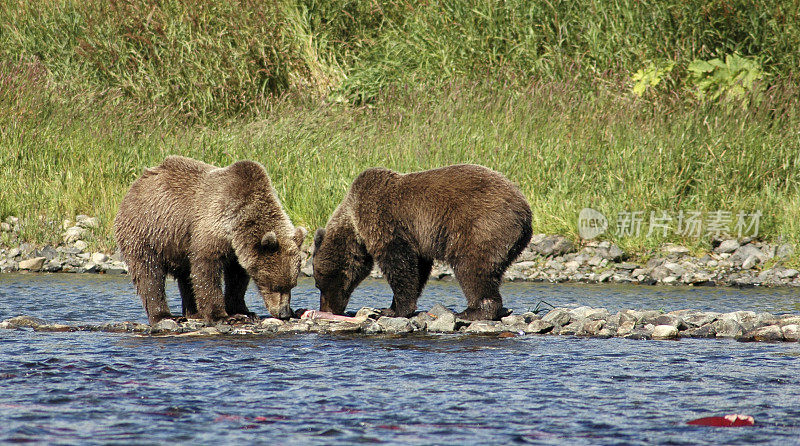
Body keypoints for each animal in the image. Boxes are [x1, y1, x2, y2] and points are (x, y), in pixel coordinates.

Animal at [115, 157, 306, 324]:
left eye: (292, 285)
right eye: (275, 286)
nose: (284, 313)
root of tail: (136, 184)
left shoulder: (236, 250)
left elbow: (237, 278)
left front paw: (244, 311)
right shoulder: (211, 224)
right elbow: (206, 269)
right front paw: (223, 315)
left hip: (180, 244)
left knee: (186, 276)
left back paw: (194, 313)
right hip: (147, 231)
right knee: (149, 274)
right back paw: (164, 316)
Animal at [312, 164, 532, 320]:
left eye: (318, 283)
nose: (327, 309)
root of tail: (525, 210)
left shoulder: (383, 220)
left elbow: (398, 263)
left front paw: (391, 310)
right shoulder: (417, 239)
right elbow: (417, 269)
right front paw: (394, 306)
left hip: (481, 225)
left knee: (471, 267)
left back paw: (471, 311)